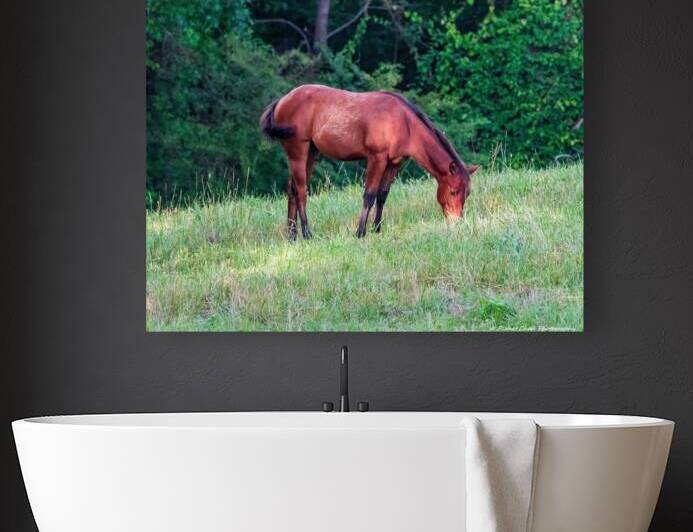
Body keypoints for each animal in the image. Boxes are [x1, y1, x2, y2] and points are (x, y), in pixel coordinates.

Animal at [260, 84, 478, 239]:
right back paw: (307, 234)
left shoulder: (394, 163)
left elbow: (382, 195)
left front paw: (377, 229)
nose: (456, 222)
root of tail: (282, 100)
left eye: (467, 193)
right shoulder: (377, 158)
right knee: (301, 190)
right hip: (298, 151)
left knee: (292, 190)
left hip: (311, 153)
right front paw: (360, 232)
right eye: (453, 191)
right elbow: (369, 195)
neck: (404, 122)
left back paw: (292, 235)